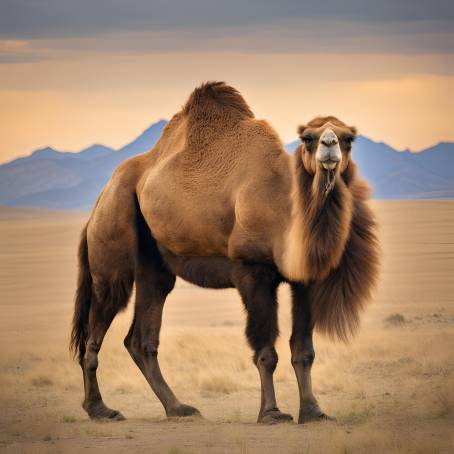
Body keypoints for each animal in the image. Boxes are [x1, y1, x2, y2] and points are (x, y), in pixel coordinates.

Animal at [69, 81, 378, 426]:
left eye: (349, 138)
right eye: (307, 138)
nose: (329, 145)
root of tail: (98, 201)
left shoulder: (305, 279)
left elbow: (304, 351)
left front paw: (314, 412)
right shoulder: (251, 270)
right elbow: (266, 352)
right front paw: (271, 413)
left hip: (153, 263)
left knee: (141, 335)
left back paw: (178, 408)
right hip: (114, 230)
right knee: (100, 317)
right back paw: (101, 409)